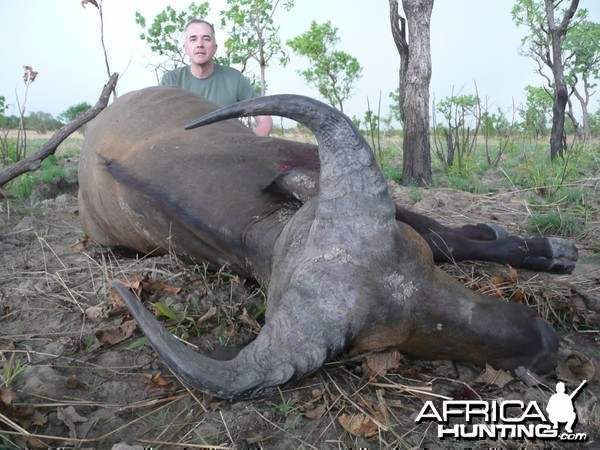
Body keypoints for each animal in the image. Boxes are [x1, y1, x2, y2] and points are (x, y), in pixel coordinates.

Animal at [77, 86, 576, 400]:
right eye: (383, 341)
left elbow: (441, 236)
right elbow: (444, 237)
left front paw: (545, 249)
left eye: (420, 261)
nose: (544, 343)